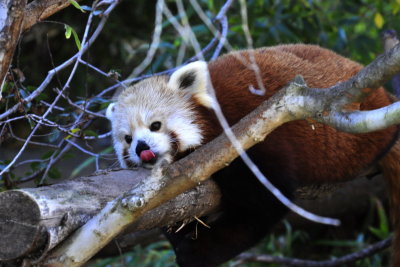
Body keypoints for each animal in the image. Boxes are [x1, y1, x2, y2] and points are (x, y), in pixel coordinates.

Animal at [106, 44, 400, 267]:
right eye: (127, 139)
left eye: (155, 125)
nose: (141, 148)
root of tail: (385, 95)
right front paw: (182, 239)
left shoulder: (251, 139)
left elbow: (262, 204)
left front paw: (198, 253)